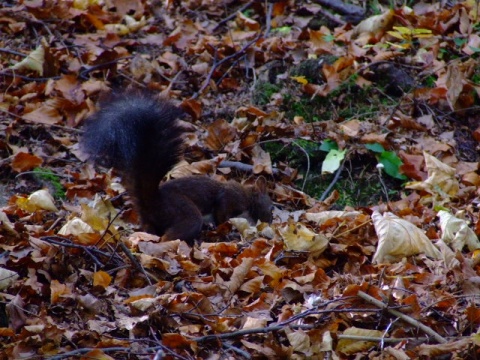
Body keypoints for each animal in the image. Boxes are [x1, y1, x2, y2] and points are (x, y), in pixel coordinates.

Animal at [80, 93, 272, 245]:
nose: (270, 222)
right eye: (270, 206)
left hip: (152, 221)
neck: (247, 196)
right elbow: (221, 215)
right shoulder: (229, 198)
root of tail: (153, 202)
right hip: (184, 212)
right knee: (170, 235)